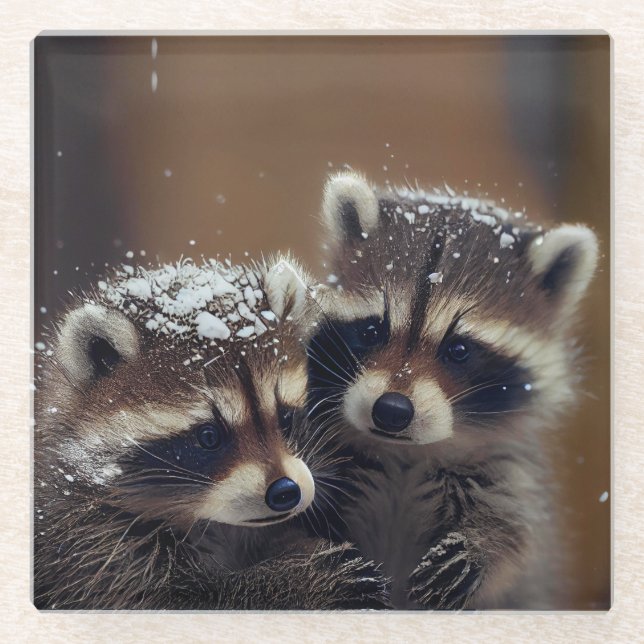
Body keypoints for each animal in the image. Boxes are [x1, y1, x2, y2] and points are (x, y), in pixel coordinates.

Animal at [34, 255, 388, 610]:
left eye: (286, 418)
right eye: (209, 436)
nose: (286, 492)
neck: (210, 523)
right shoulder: (88, 538)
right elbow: (172, 599)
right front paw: (296, 580)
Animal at [305, 172, 599, 609]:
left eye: (458, 350)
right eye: (372, 331)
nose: (391, 410)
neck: (406, 455)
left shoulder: (508, 467)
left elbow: (519, 531)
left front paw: (482, 545)